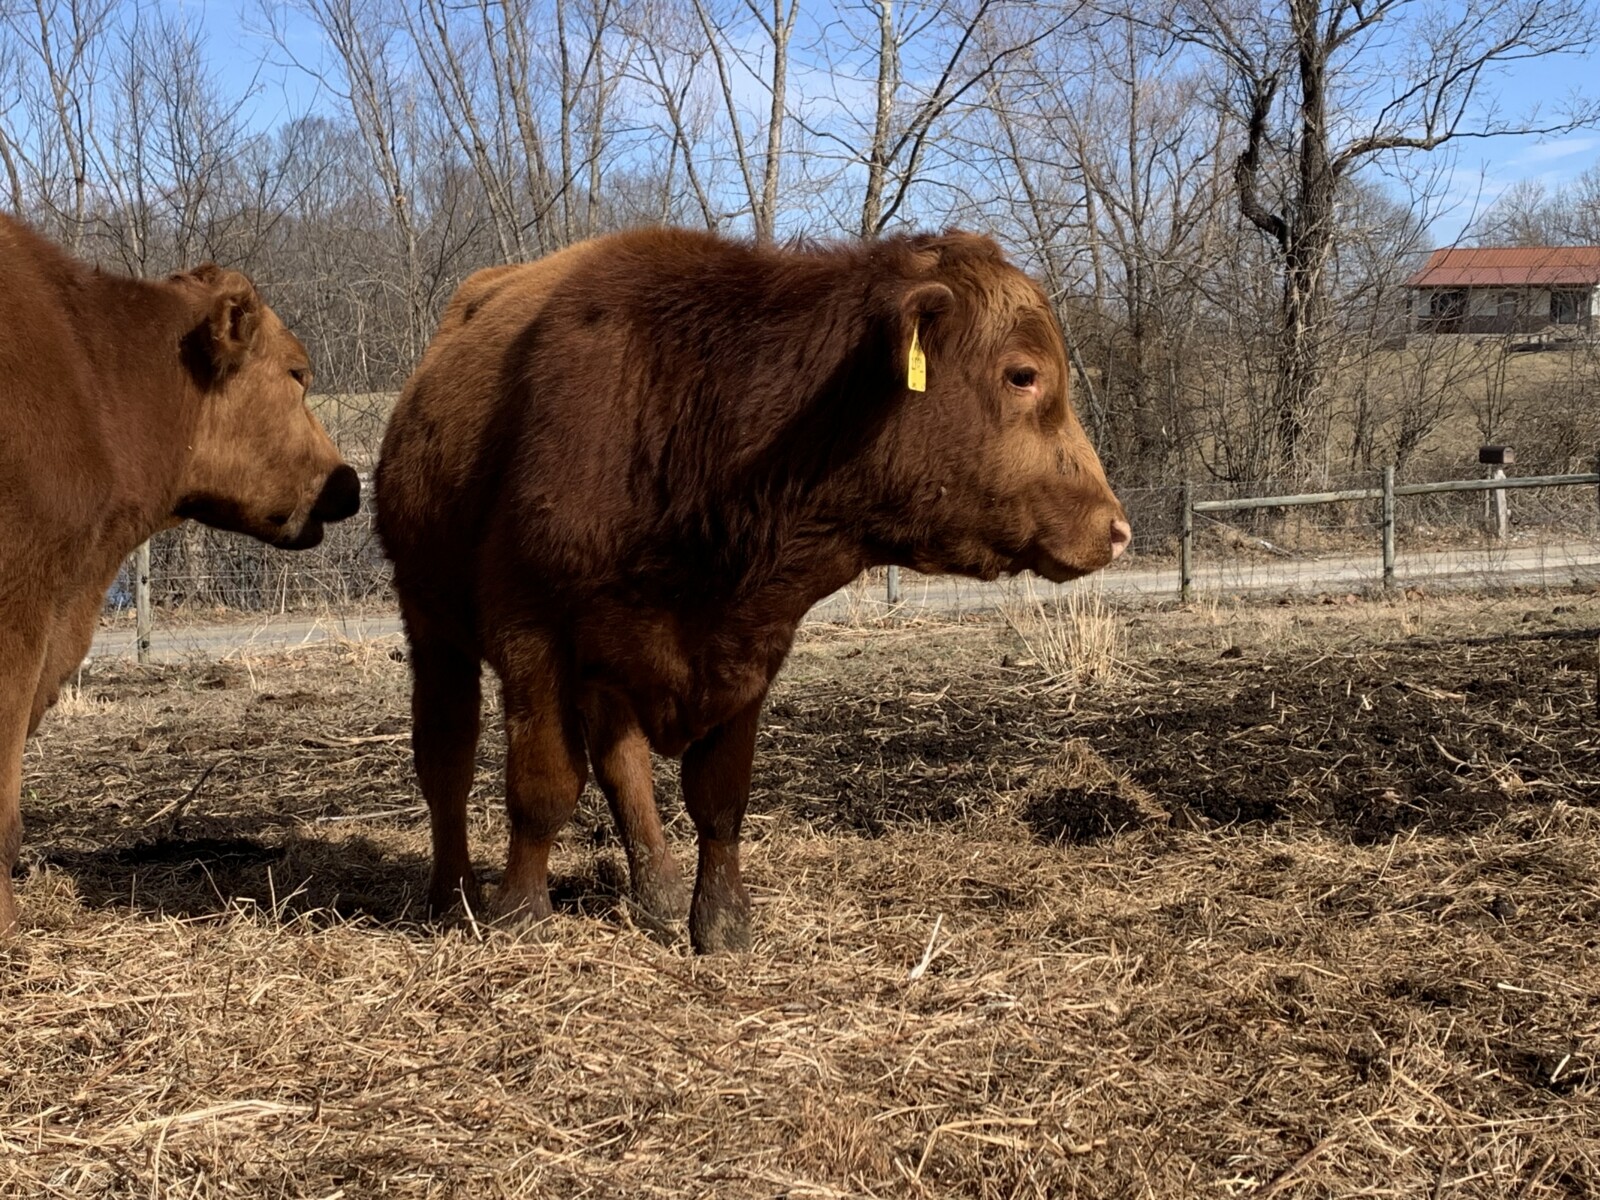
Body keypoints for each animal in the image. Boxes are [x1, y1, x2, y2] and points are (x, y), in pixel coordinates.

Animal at [375, 227, 1129, 953]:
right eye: (1023, 374)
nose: (1115, 527)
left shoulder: (749, 645)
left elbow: (718, 795)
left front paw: (721, 923)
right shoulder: (532, 636)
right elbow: (543, 785)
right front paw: (519, 918)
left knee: (623, 766)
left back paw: (657, 893)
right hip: (433, 628)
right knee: (447, 758)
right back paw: (454, 897)